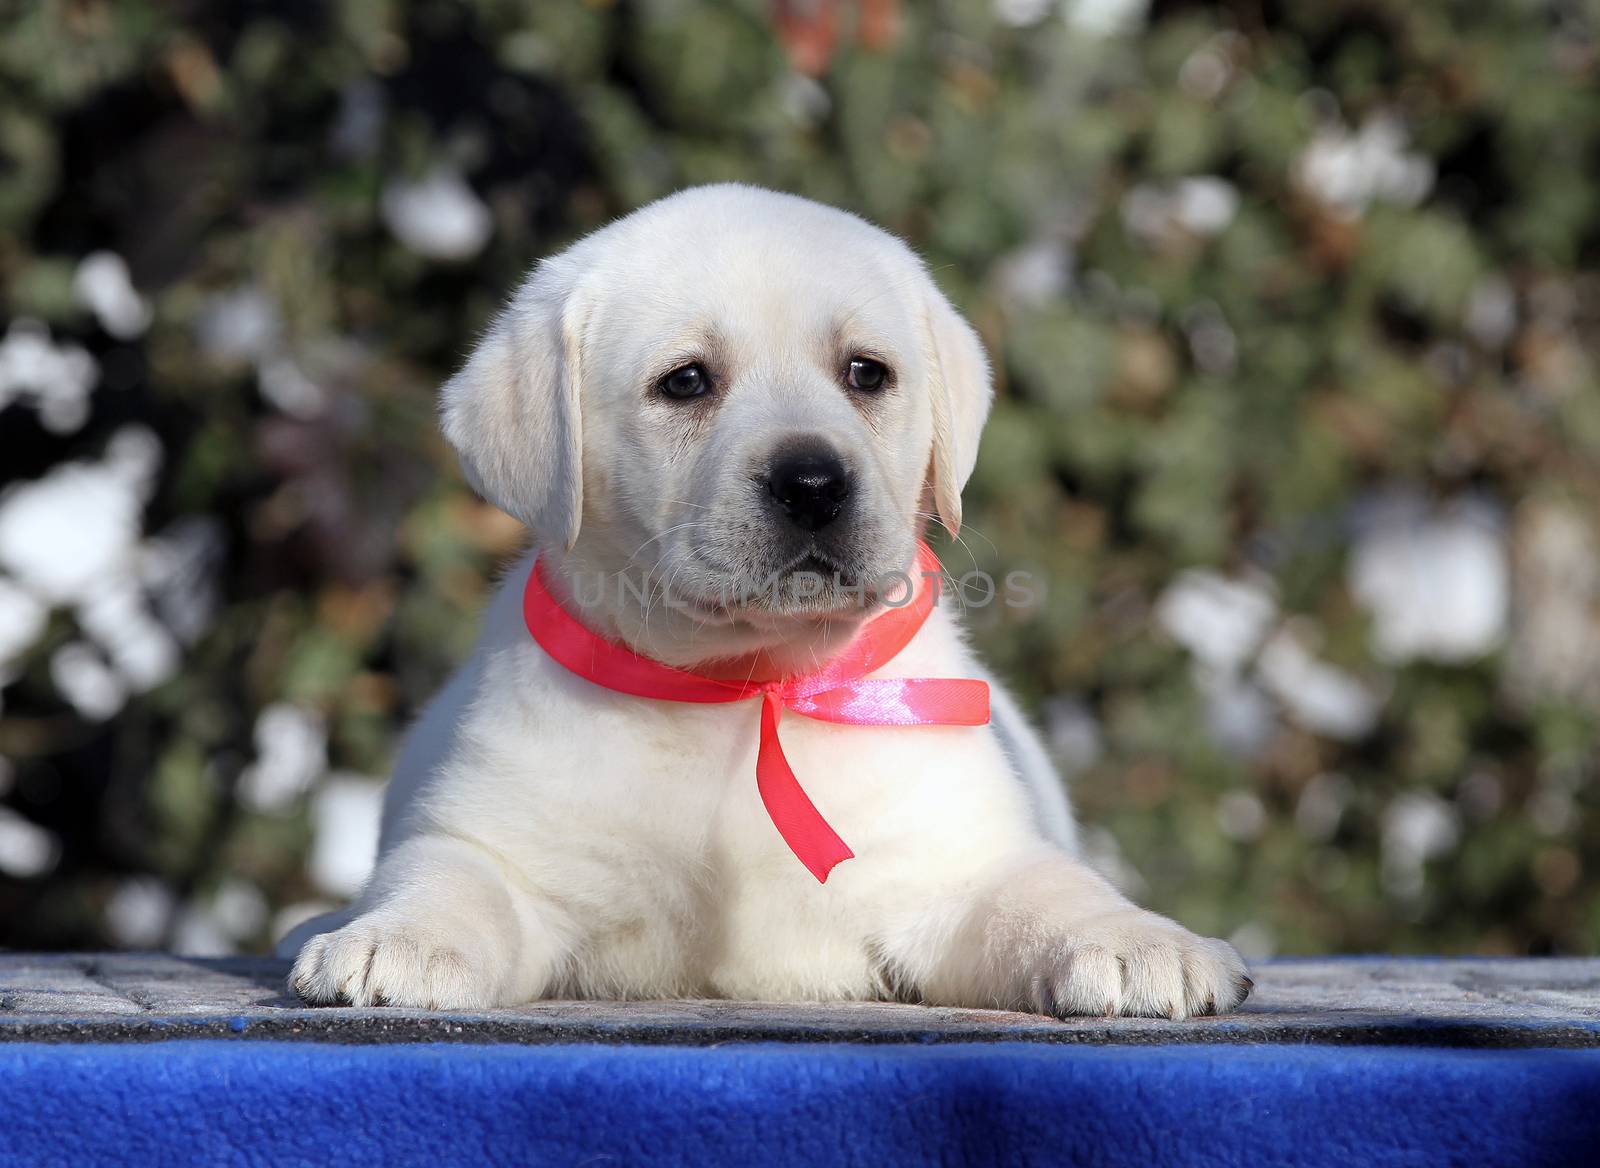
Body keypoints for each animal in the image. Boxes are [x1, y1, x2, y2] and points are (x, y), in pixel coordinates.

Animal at [284, 186, 1248, 1017]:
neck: (747, 687)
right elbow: (449, 876)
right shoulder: (502, 843)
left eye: (866, 373)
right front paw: (400, 940)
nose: (813, 484)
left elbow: (1049, 891)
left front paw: (1139, 941)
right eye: (684, 382)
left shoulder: (958, 863)